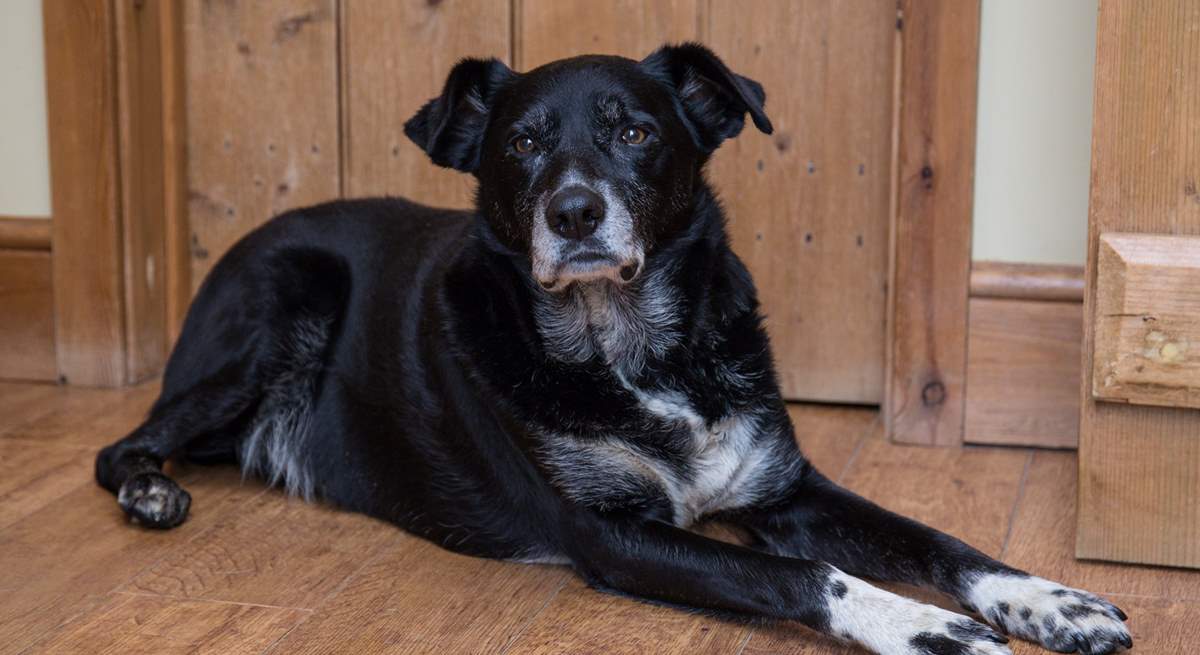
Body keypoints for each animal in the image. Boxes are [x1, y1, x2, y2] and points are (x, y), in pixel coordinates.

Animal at [96, 43, 1132, 647]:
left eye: (635, 132)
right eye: (519, 144)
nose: (574, 211)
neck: (640, 351)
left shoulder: (786, 489)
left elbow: (933, 538)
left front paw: (1049, 601)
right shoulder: (615, 533)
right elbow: (805, 573)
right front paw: (930, 629)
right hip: (284, 302)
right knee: (119, 445)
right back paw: (150, 490)